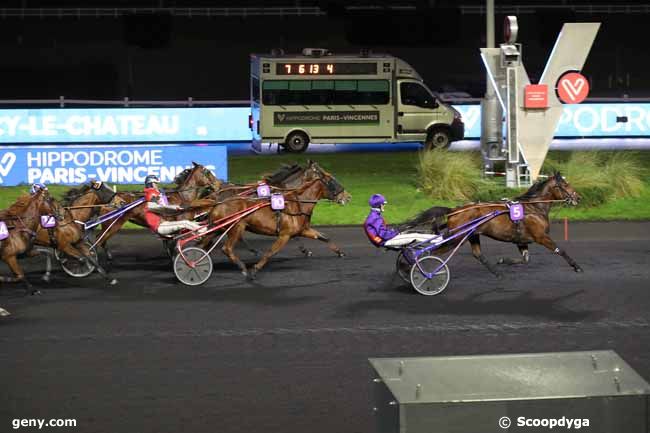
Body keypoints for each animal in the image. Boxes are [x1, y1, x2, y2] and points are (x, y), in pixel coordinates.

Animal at [195, 160, 352, 278]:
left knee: (203, 244)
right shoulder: (285, 234)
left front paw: (340, 252)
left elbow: (324, 237)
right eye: (331, 180)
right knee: (226, 248)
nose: (348, 197)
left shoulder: (303, 230)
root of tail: (218, 201)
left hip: (219, 228)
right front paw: (255, 269)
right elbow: (271, 251)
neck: (296, 201)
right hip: (236, 227)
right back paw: (243, 267)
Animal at [402, 172, 584, 276]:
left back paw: (497, 272)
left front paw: (503, 261)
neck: (534, 208)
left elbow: (525, 259)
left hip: (472, 235)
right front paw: (576, 266)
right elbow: (560, 250)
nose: (578, 197)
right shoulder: (541, 236)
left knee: (477, 254)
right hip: (456, 238)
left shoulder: (521, 241)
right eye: (565, 185)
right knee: (431, 251)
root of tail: (455, 210)